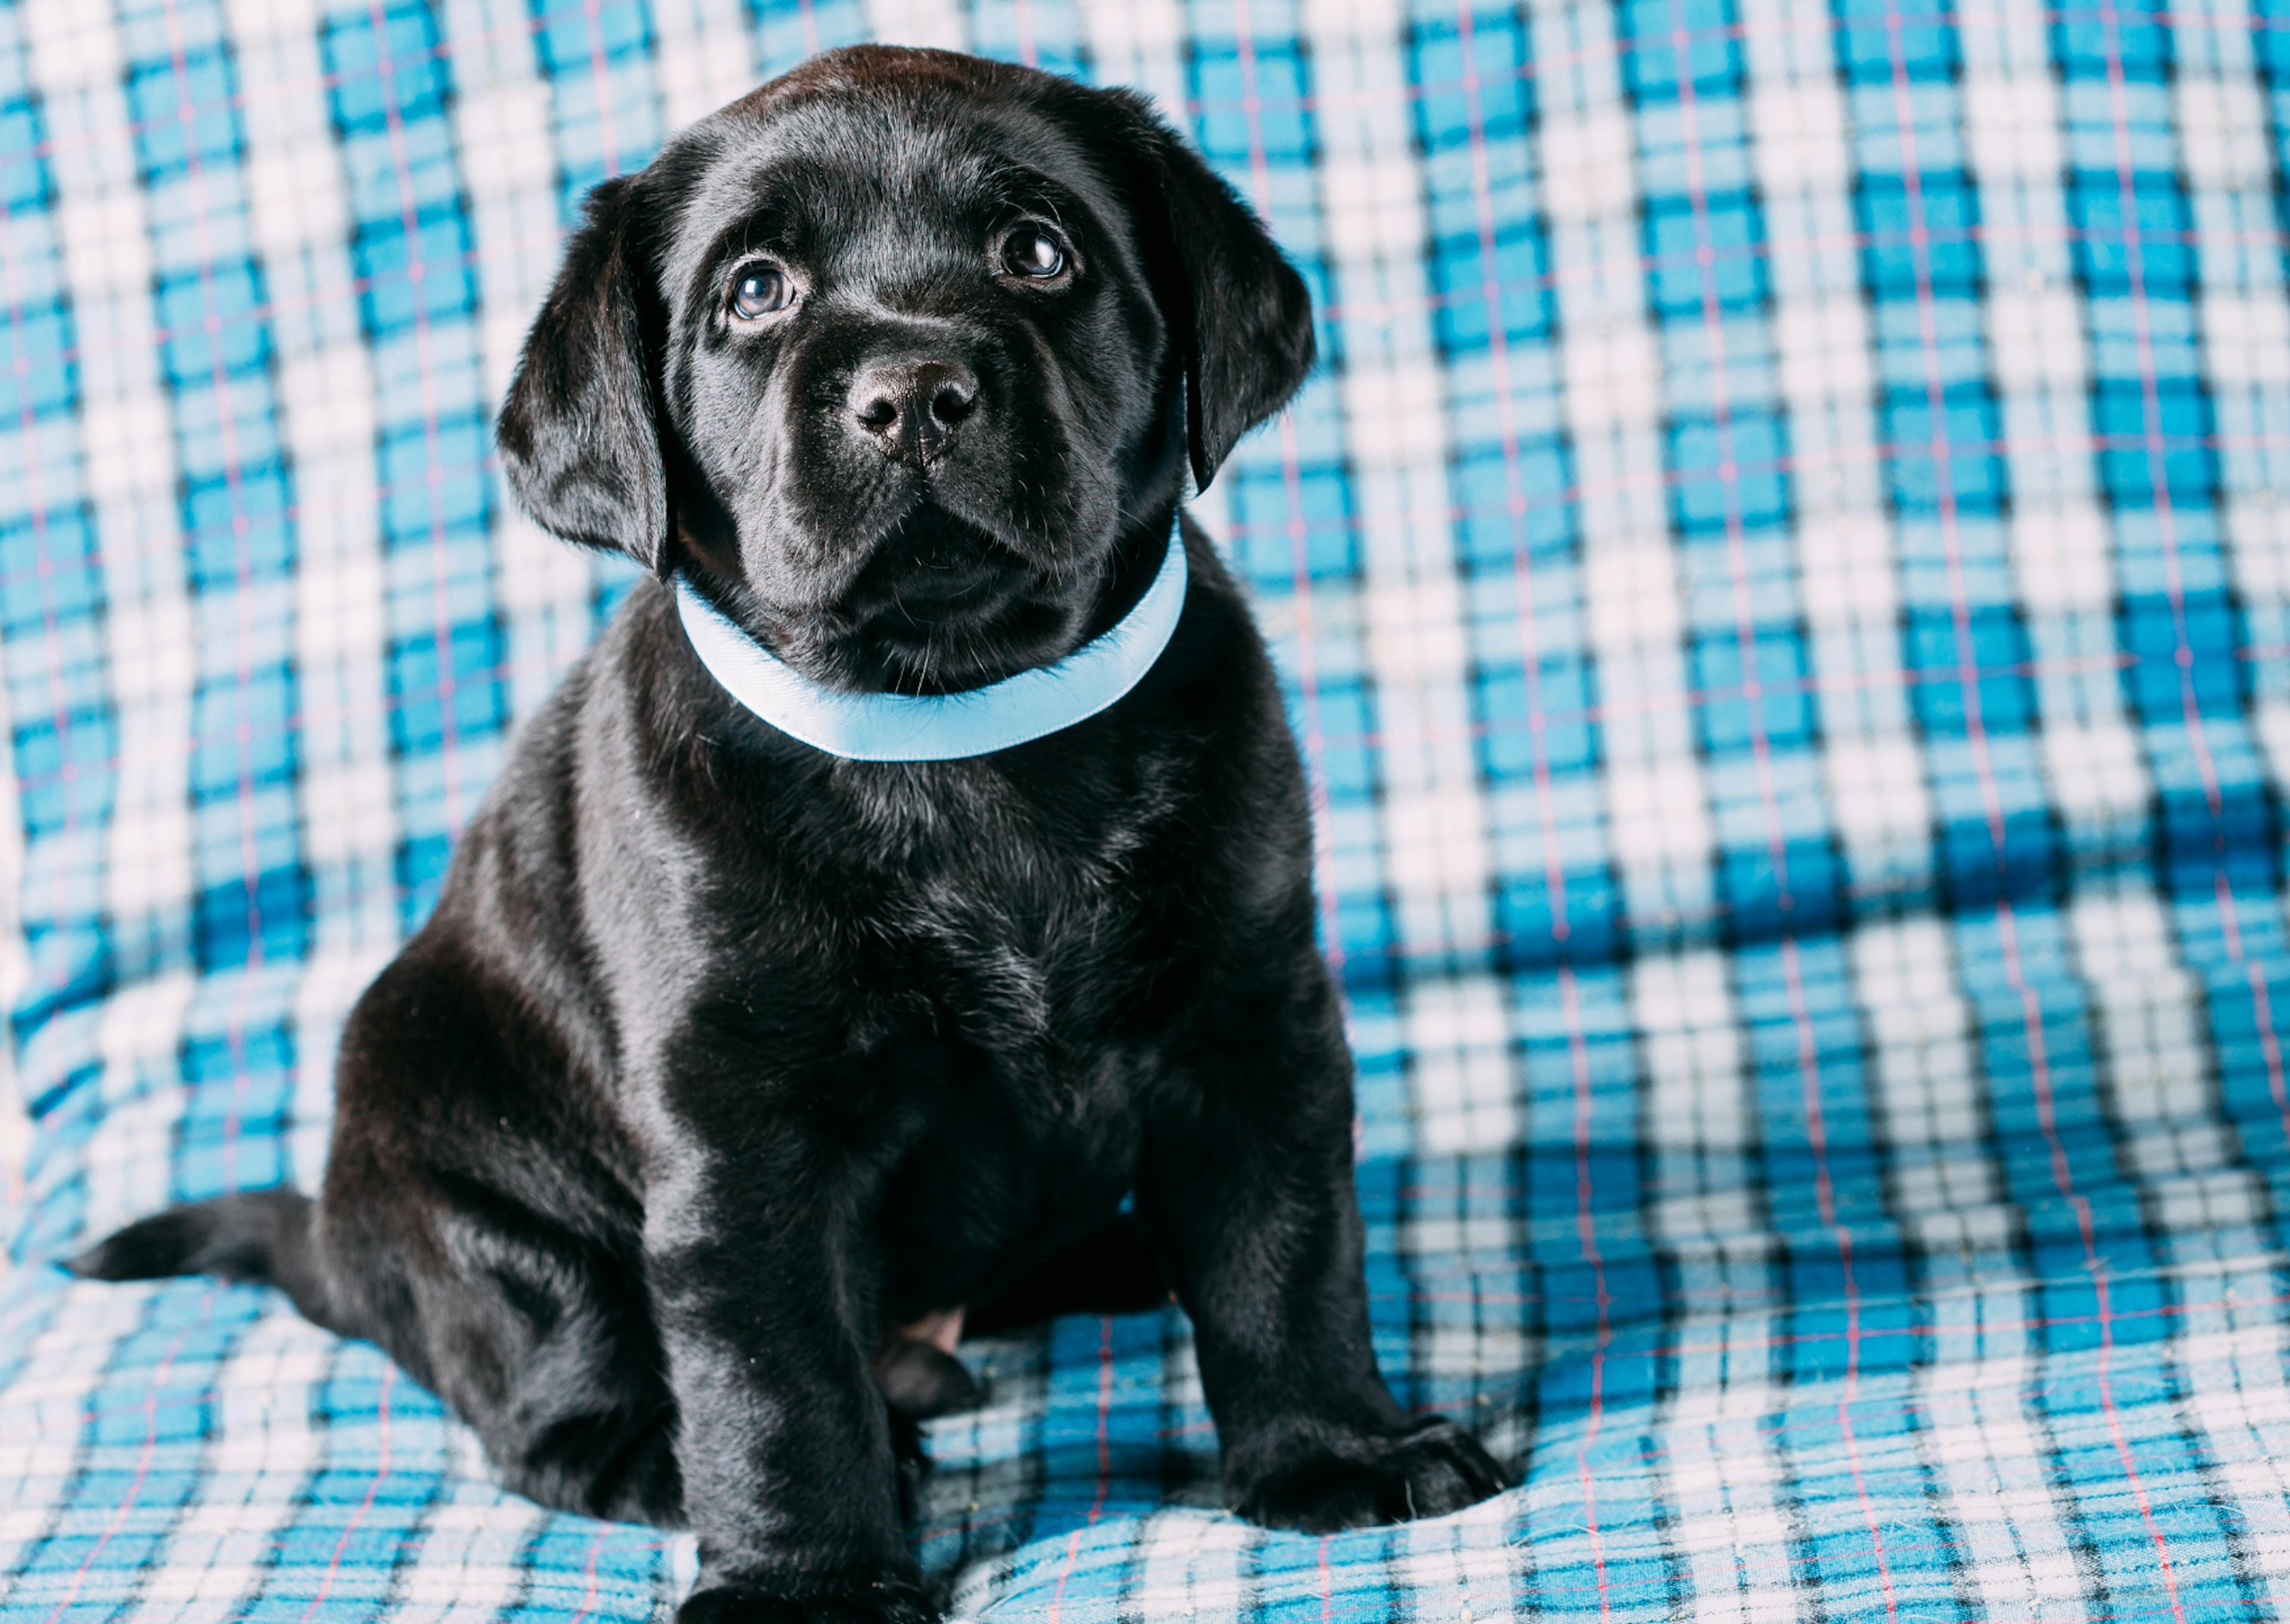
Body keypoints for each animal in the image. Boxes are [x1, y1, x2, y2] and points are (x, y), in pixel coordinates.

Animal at [81, 44, 1520, 1612]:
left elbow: (1284, 1255)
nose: (914, 390)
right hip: (470, 1194)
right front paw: (809, 1579)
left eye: (1038, 252)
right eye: (756, 290)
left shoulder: (1248, 1021)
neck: (958, 730)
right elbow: (773, 1376)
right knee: (552, 1389)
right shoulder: (739, 1130)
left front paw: (1332, 1450)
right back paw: (656, 1453)